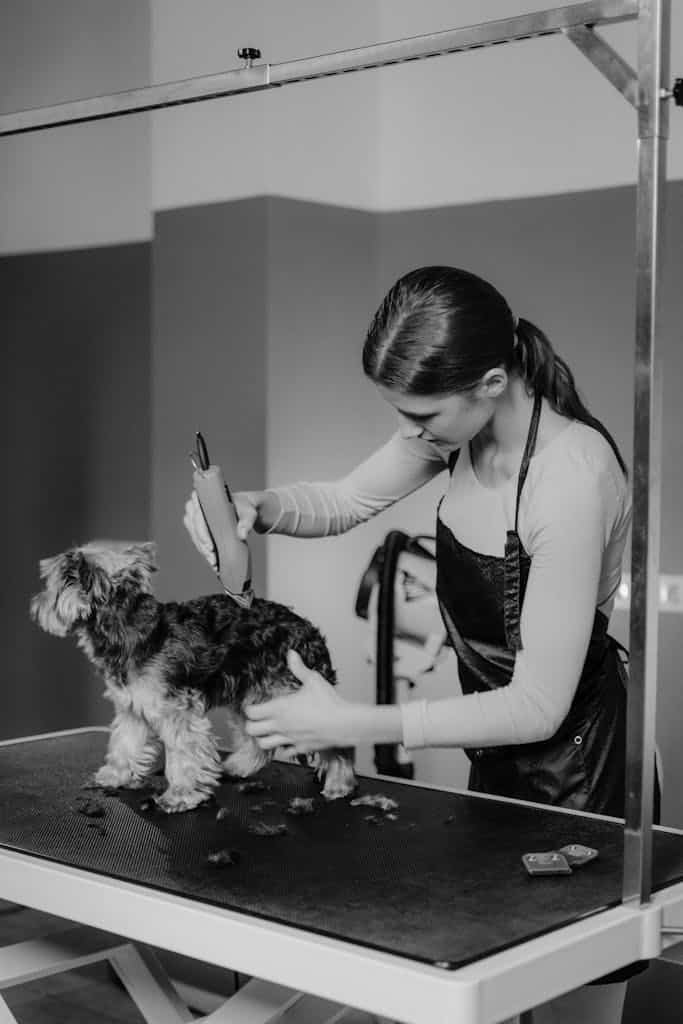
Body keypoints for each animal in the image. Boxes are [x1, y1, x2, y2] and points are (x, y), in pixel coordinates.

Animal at [29, 540, 356, 811]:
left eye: (49, 587)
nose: (35, 605)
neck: (125, 627)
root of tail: (312, 632)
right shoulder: (132, 707)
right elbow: (125, 742)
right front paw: (116, 774)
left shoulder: (177, 711)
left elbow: (183, 755)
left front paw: (180, 795)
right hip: (254, 697)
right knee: (258, 741)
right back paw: (239, 766)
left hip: (292, 697)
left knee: (337, 740)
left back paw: (340, 784)